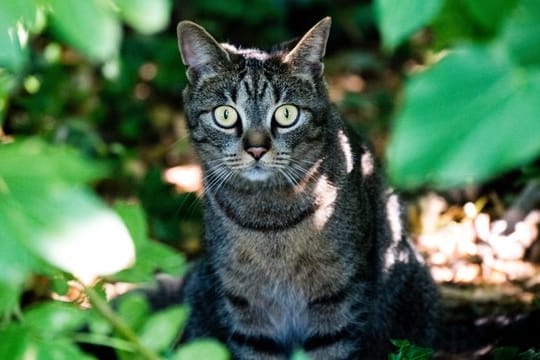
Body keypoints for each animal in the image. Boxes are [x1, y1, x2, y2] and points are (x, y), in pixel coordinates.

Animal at [169, 17, 438, 360]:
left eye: (286, 113)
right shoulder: (244, 305)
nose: (256, 148)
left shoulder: (338, 297)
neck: (270, 222)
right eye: (225, 114)